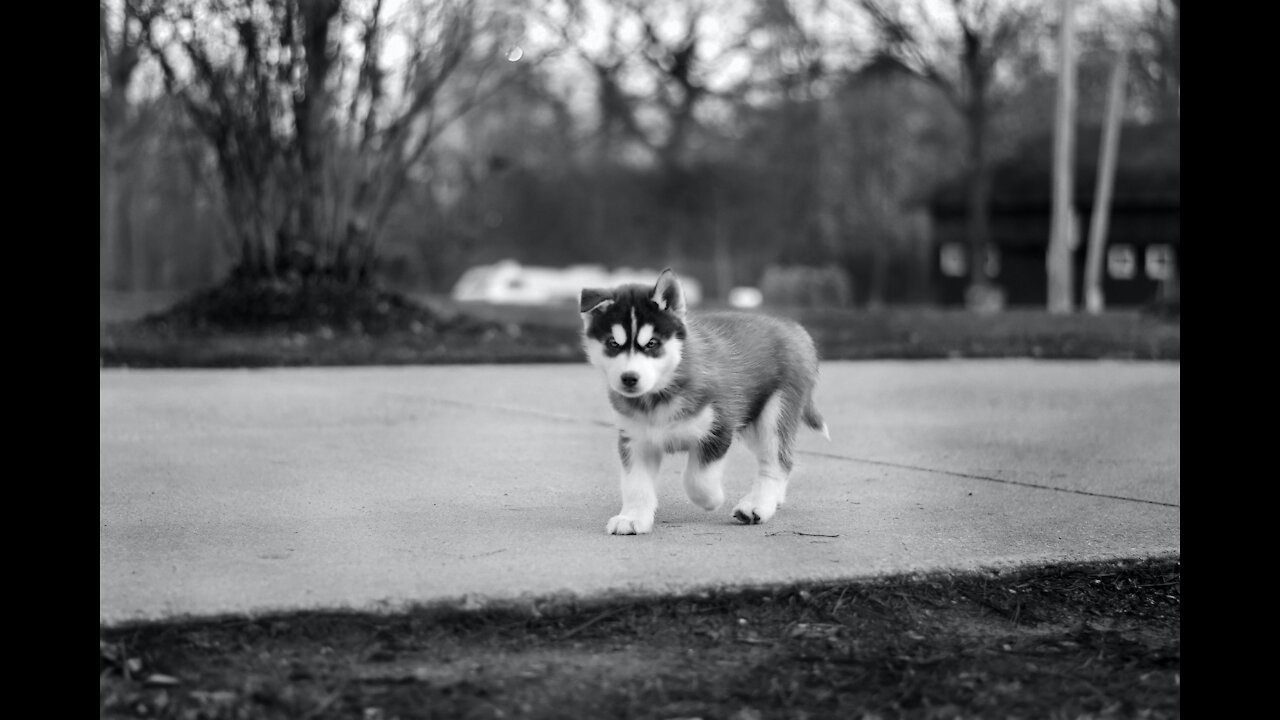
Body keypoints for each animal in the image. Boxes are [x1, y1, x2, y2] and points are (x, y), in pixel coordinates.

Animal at [581, 269, 829, 532]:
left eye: (652, 343)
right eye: (613, 344)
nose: (629, 378)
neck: (659, 396)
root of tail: (793, 327)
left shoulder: (719, 428)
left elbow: (696, 478)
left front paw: (711, 500)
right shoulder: (636, 440)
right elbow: (635, 485)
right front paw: (632, 518)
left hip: (774, 414)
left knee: (777, 461)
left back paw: (756, 506)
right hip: (751, 421)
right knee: (781, 459)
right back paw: (774, 500)